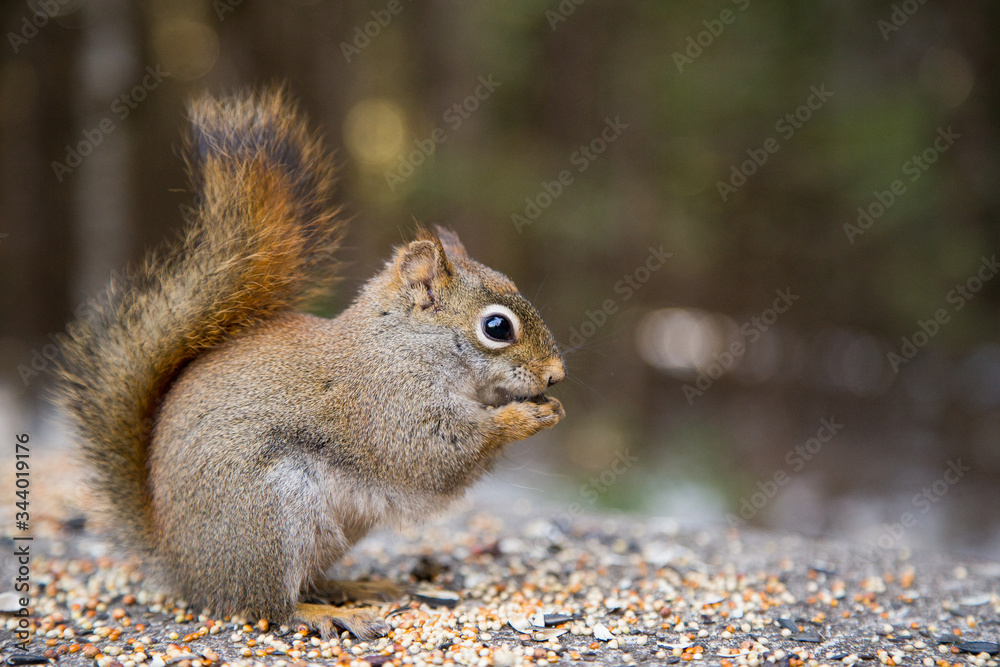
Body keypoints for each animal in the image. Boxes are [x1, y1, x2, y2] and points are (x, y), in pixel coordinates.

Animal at [54, 88, 566, 640]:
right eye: (496, 328)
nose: (556, 374)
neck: (404, 345)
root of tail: (183, 565)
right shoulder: (386, 406)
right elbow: (436, 454)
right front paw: (525, 417)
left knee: (308, 582)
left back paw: (355, 588)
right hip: (272, 515)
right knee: (268, 606)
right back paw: (327, 614)